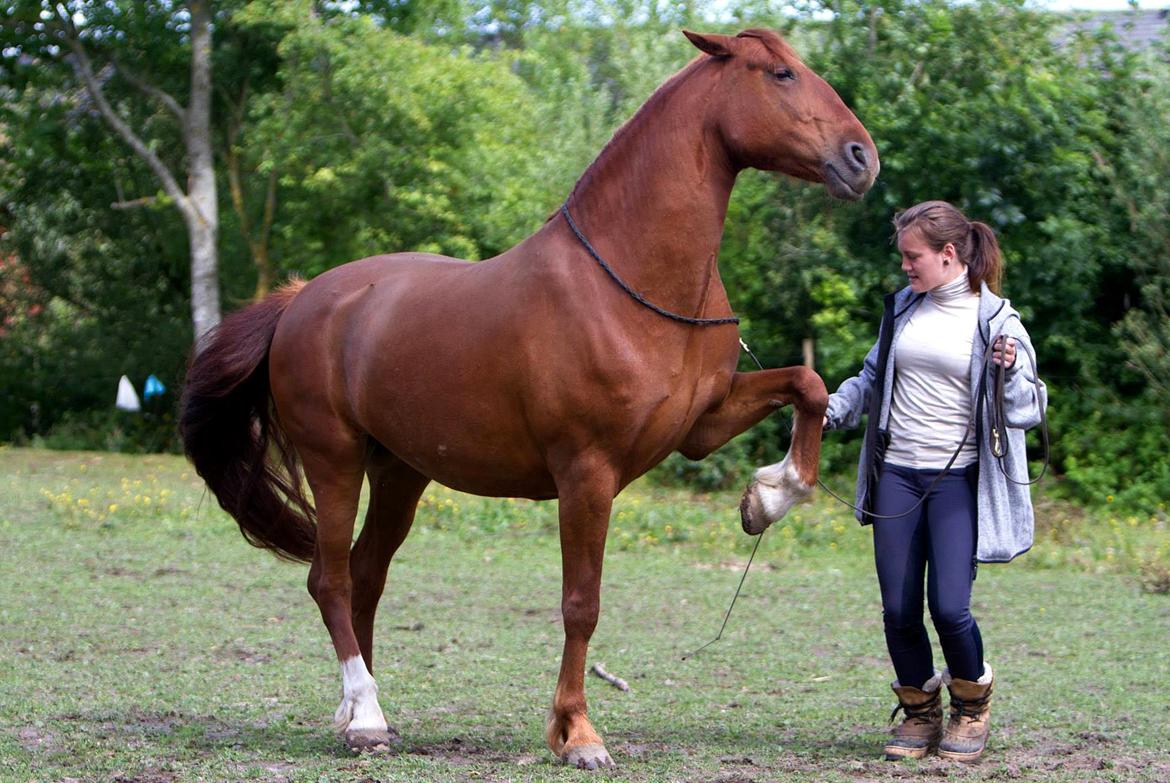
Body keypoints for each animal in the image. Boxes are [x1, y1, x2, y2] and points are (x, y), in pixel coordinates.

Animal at [180, 28, 879, 767]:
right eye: (780, 73)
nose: (861, 157)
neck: (626, 280)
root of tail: (299, 299)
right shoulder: (587, 474)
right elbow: (581, 603)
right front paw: (578, 734)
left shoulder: (703, 424)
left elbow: (807, 386)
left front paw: (767, 496)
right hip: (335, 460)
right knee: (331, 579)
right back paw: (365, 715)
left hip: (399, 473)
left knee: (365, 576)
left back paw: (358, 713)